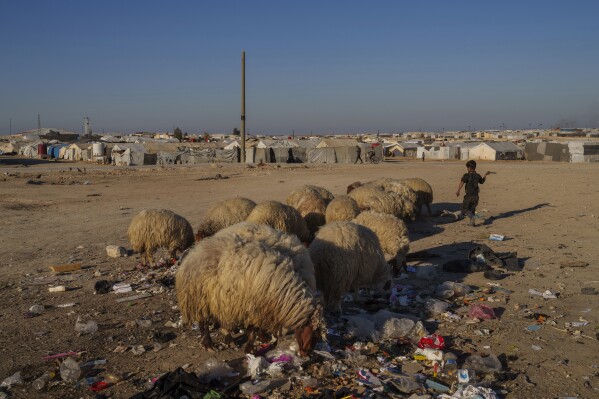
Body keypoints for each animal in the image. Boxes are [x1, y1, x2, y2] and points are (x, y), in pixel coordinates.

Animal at [175, 225, 324, 356]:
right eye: (314, 335)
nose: (307, 354)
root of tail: (195, 251)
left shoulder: (262, 309)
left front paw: (262, 339)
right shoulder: (254, 307)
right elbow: (252, 331)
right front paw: (250, 350)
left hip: (222, 299)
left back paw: (228, 339)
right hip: (200, 299)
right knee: (203, 322)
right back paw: (208, 344)